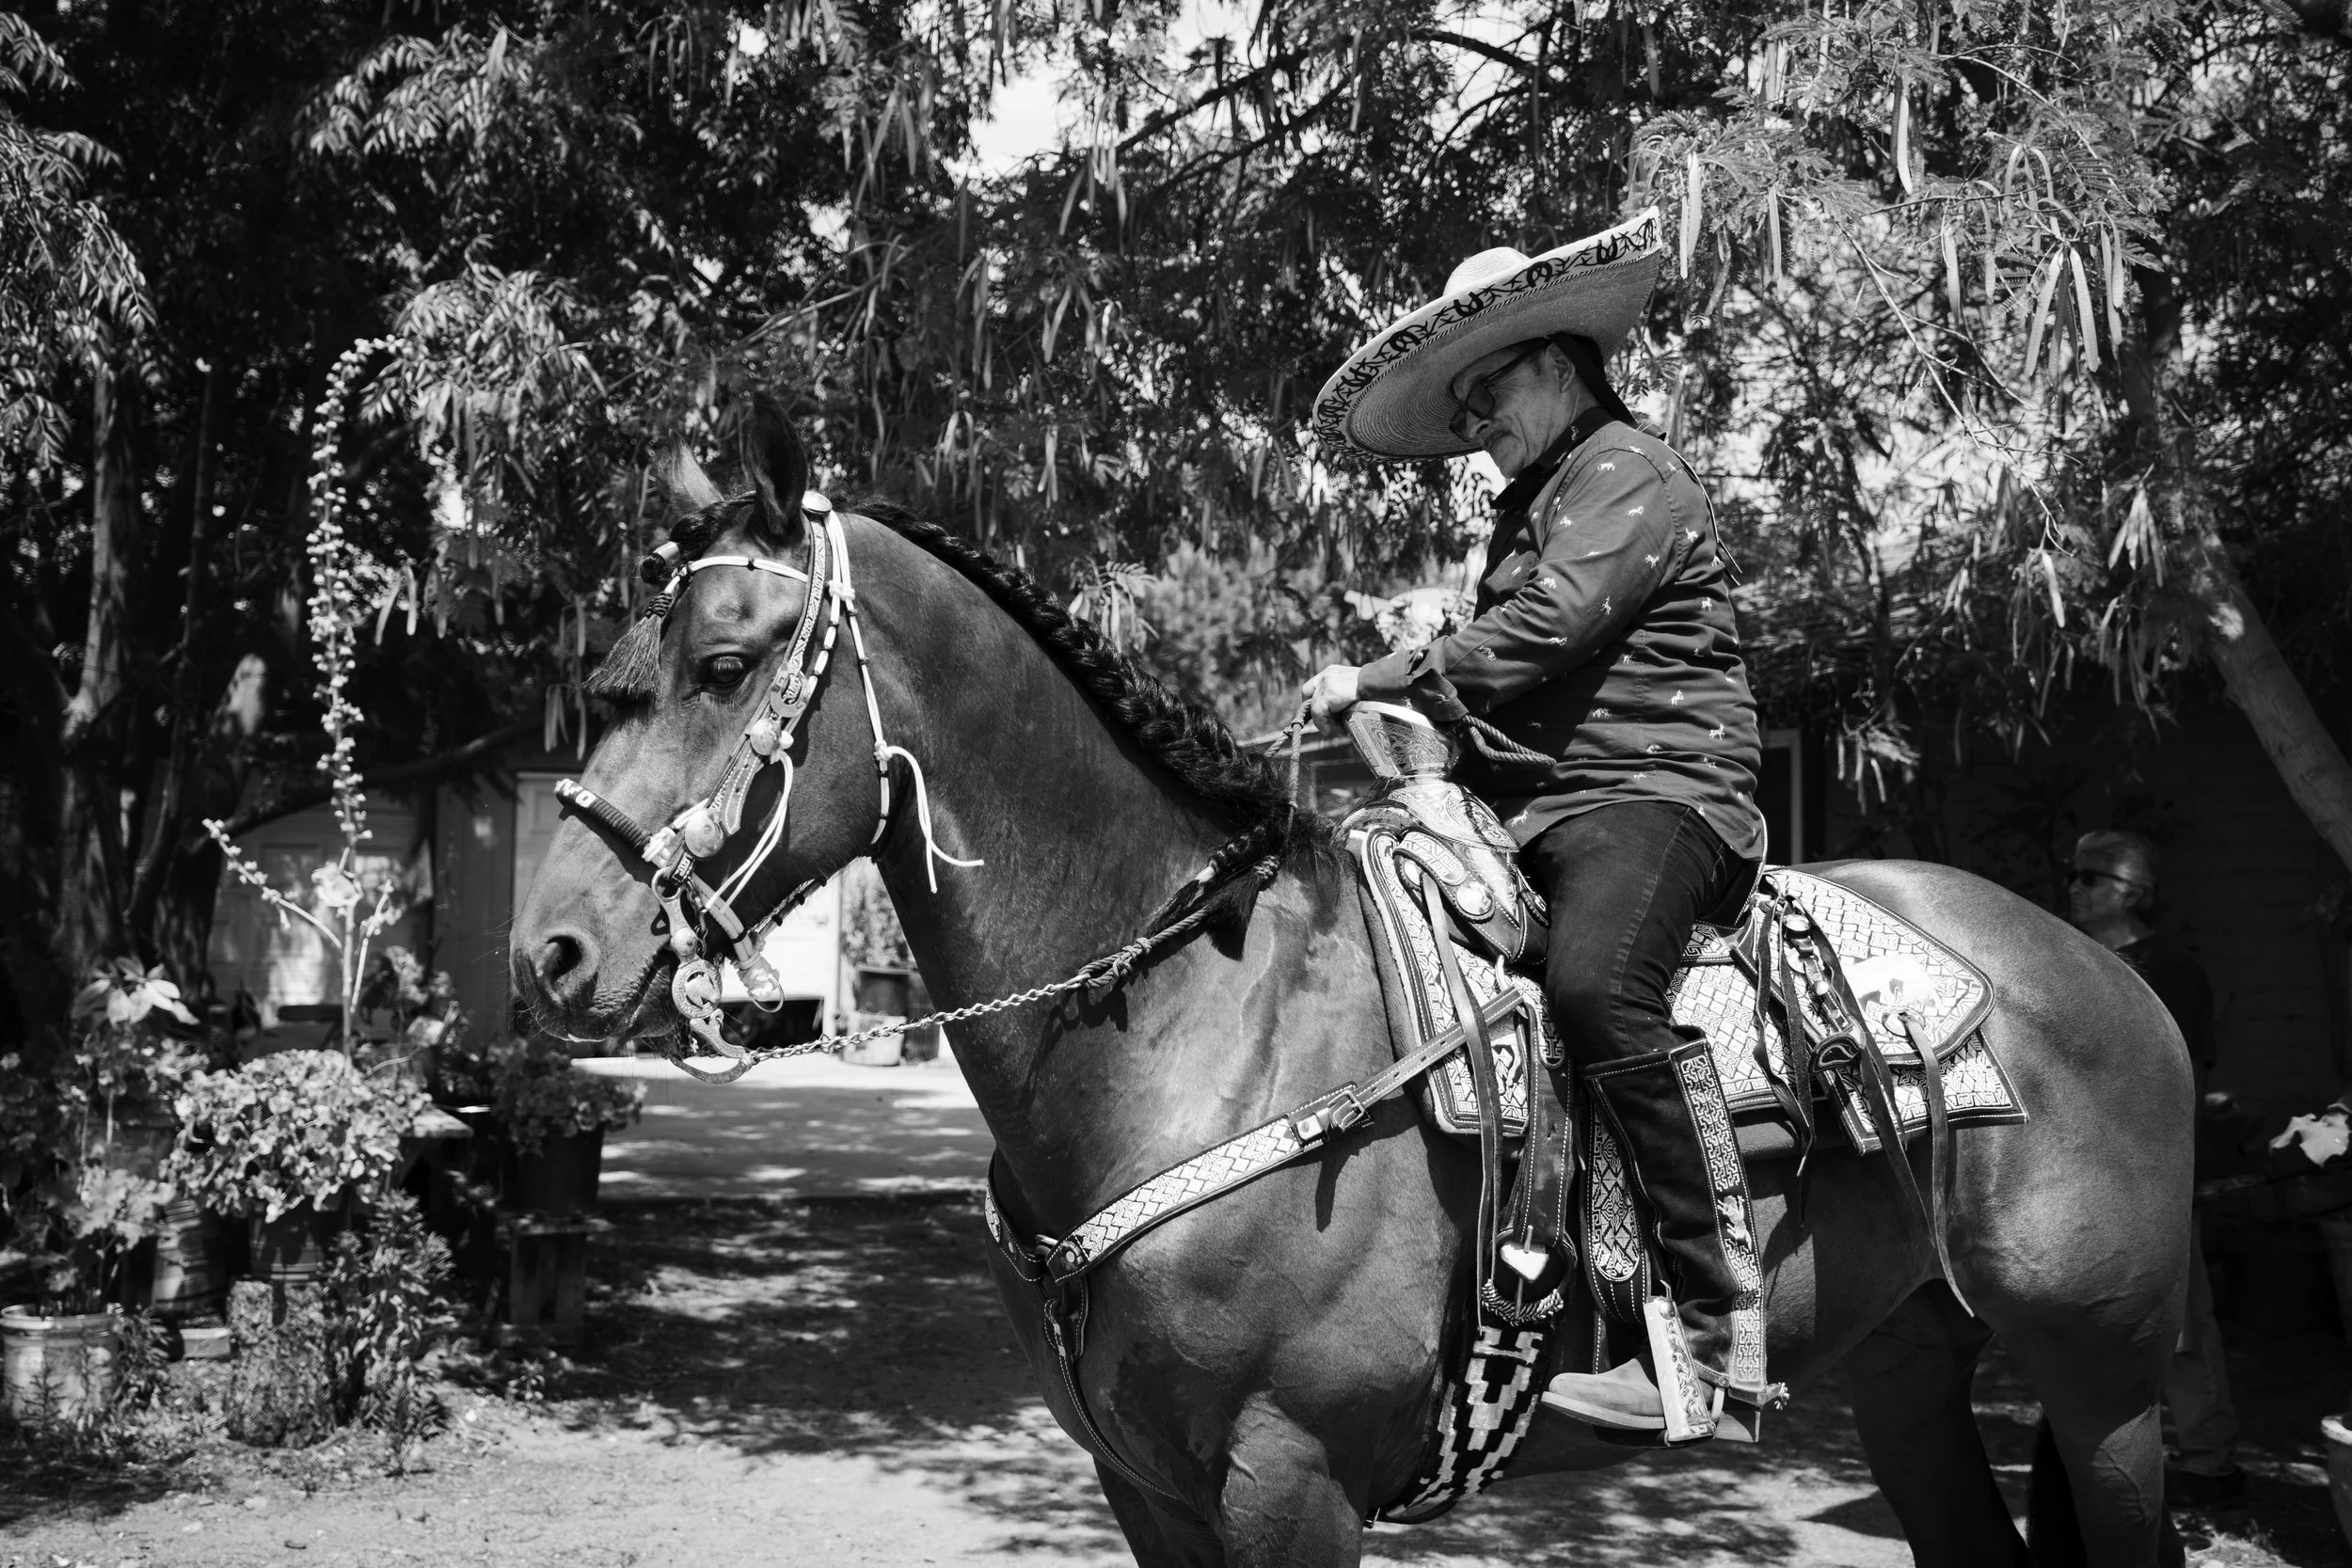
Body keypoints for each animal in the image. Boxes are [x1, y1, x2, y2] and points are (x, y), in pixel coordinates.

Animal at [513, 402, 2190, 1568]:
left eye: (726, 663)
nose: (557, 950)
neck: (1192, 1032)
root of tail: (2110, 974)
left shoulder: (1290, 1478)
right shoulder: (1149, 1483)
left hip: (2103, 1378)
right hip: (1909, 1358)